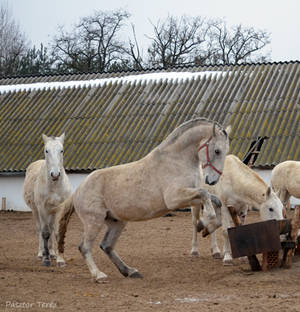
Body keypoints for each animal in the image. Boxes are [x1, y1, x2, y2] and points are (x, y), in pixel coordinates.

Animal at [23, 133, 71, 266]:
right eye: (46, 150)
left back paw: (52, 253)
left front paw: (60, 259)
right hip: (36, 211)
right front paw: (46, 259)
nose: (55, 174)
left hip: (52, 212)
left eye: (61, 150)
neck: (54, 186)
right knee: (41, 229)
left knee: (52, 228)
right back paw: (42, 253)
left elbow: (57, 232)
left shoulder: (59, 208)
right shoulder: (42, 209)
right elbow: (45, 233)